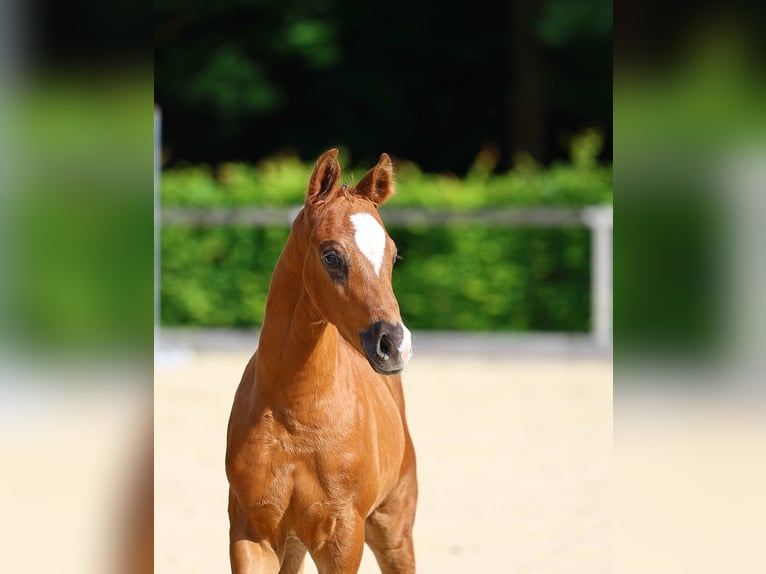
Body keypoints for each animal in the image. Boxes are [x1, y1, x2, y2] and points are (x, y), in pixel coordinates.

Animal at [225, 149, 418, 574]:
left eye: (394, 255)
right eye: (331, 256)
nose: (394, 344)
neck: (296, 416)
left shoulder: (342, 537)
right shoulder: (251, 533)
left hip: (393, 528)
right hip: (295, 543)